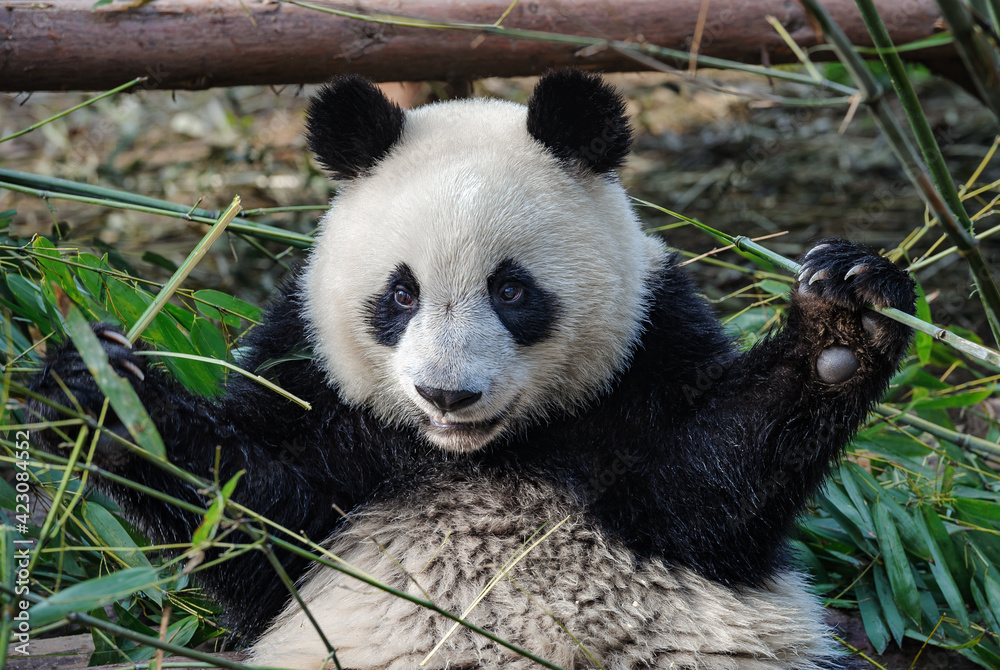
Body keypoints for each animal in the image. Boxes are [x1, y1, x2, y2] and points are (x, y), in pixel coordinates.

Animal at [31, 70, 916, 669]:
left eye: (512, 290)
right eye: (400, 293)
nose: (446, 394)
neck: (481, 455)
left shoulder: (650, 352)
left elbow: (705, 493)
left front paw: (845, 317)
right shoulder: (311, 383)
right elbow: (257, 522)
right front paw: (105, 395)